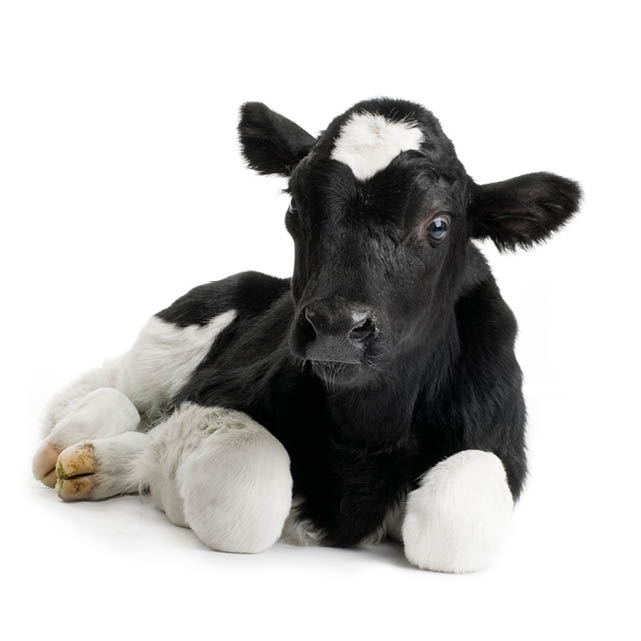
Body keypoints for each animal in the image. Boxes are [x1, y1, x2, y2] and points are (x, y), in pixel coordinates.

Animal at [32, 98, 581, 573]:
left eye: (440, 224)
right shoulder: (213, 393)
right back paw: (74, 448)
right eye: (296, 205)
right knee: (115, 393)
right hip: (170, 337)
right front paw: (159, 476)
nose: (336, 326)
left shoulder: (499, 442)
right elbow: (247, 491)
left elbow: (454, 521)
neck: (367, 428)